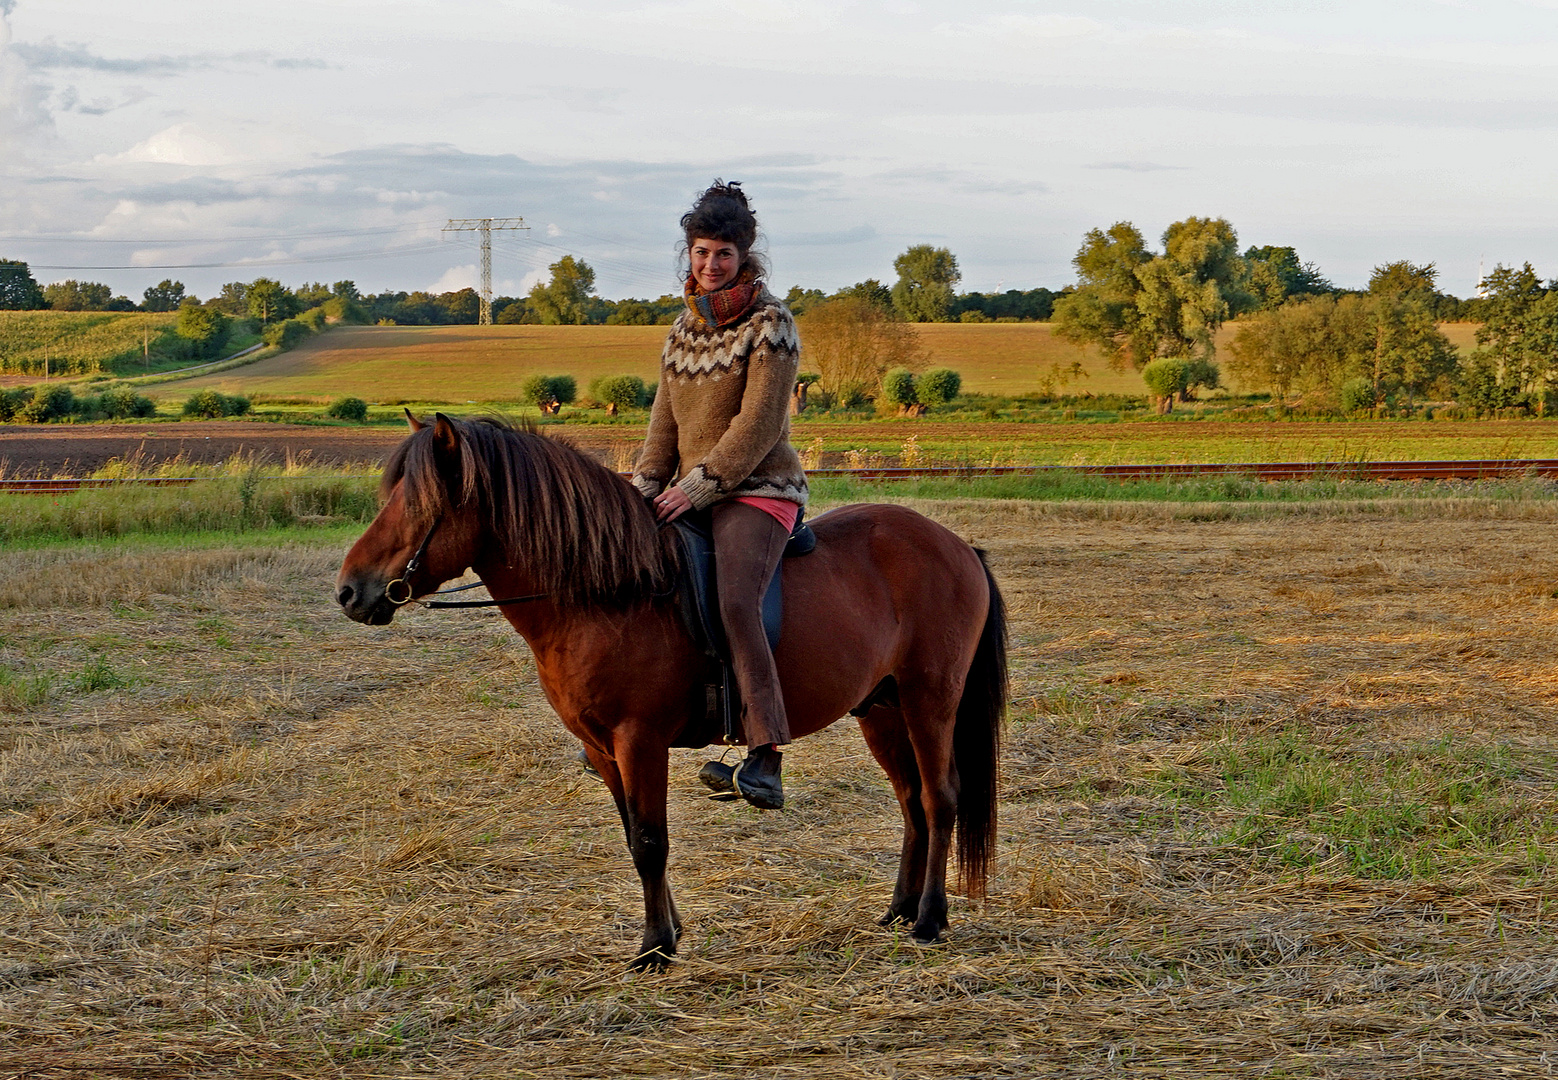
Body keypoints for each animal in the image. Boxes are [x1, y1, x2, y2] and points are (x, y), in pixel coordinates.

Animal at [334, 414, 1003, 966]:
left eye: (420, 504)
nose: (349, 591)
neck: (610, 593)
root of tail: (956, 546)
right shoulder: (603, 749)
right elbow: (635, 837)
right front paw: (670, 932)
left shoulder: (641, 740)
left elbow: (652, 841)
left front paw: (655, 948)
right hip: (881, 710)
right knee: (912, 802)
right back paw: (896, 912)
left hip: (929, 702)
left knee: (940, 798)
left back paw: (929, 920)